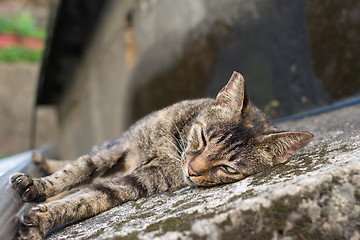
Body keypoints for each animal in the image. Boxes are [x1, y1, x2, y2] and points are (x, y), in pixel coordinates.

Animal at [9, 71, 312, 240]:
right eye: (203, 138)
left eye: (228, 168)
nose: (192, 169)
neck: (170, 149)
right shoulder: (121, 148)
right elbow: (77, 170)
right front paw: (38, 186)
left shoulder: (138, 182)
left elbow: (89, 198)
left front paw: (41, 220)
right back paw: (41, 164)